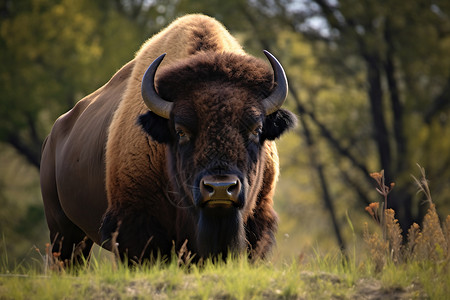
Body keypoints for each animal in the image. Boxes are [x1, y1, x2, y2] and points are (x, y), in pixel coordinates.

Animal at [40, 14, 298, 262]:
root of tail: (53, 136)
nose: (220, 188)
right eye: (180, 131)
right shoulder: (135, 228)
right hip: (62, 231)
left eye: (256, 129)